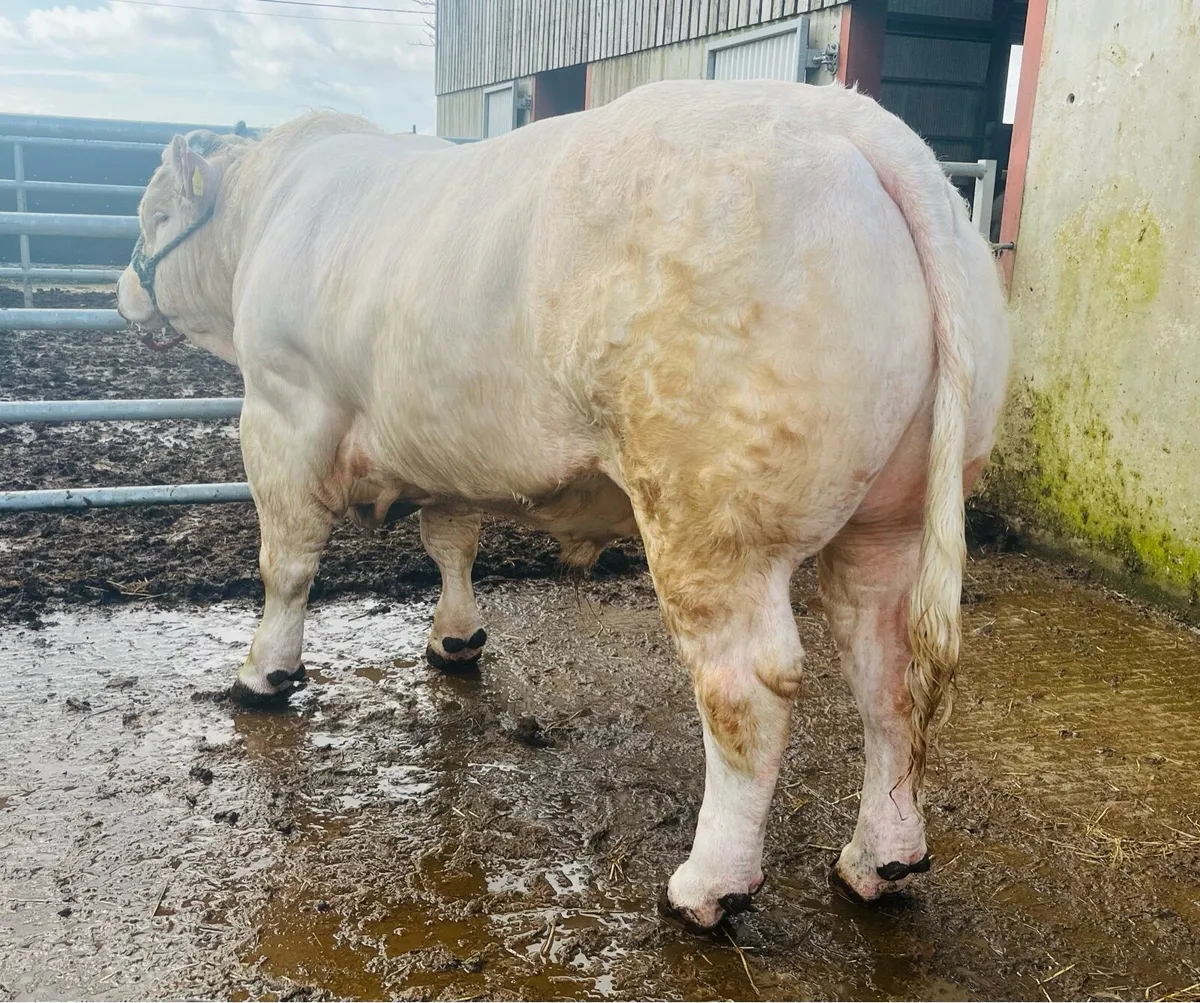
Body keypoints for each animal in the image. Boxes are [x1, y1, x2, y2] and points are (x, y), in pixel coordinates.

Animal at [117, 79, 1010, 930]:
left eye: (154, 213)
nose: (124, 285)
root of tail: (852, 122)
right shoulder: (448, 442)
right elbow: (451, 540)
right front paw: (455, 639)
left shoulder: (281, 414)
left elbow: (287, 564)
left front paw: (264, 672)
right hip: (889, 519)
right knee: (885, 668)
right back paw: (880, 858)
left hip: (712, 520)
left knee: (744, 685)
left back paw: (707, 886)